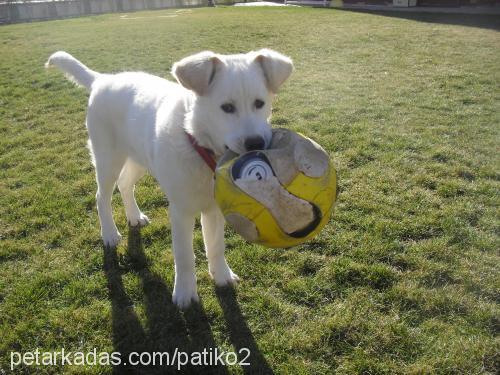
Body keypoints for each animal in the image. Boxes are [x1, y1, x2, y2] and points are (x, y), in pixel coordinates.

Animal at [46, 50, 292, 308]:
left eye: (259, 104)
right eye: (226, 107)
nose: (256, 143)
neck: (199, 144)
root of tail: (102, 80)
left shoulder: (213, 208)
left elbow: (216, 246)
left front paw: (222, 276)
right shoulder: (180, 211)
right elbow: (184, 255)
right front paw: (185, 294)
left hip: (139, 159)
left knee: (125, 184)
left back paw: (134, 216)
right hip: (107, 159)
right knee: (101, 197)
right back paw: (110, 234)